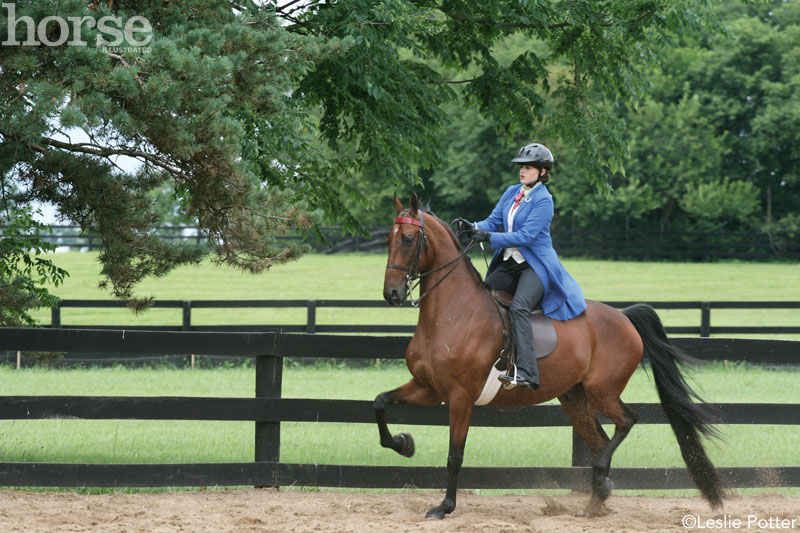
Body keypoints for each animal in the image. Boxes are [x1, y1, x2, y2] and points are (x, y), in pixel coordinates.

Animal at [376, 192, 724, 520]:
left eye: (409, 239)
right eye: (389, 239)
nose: (391, 294)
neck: (452, 314)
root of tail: (624, 317)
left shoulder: (461, 398)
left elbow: (454, 456)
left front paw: (444, 507)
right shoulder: (429, 388)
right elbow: (380, 403)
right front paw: (404, 444)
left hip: (601, 391)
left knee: (626, 422)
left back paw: (599, 479)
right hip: (575, 397)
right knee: (599, 439)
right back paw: (595, 499)